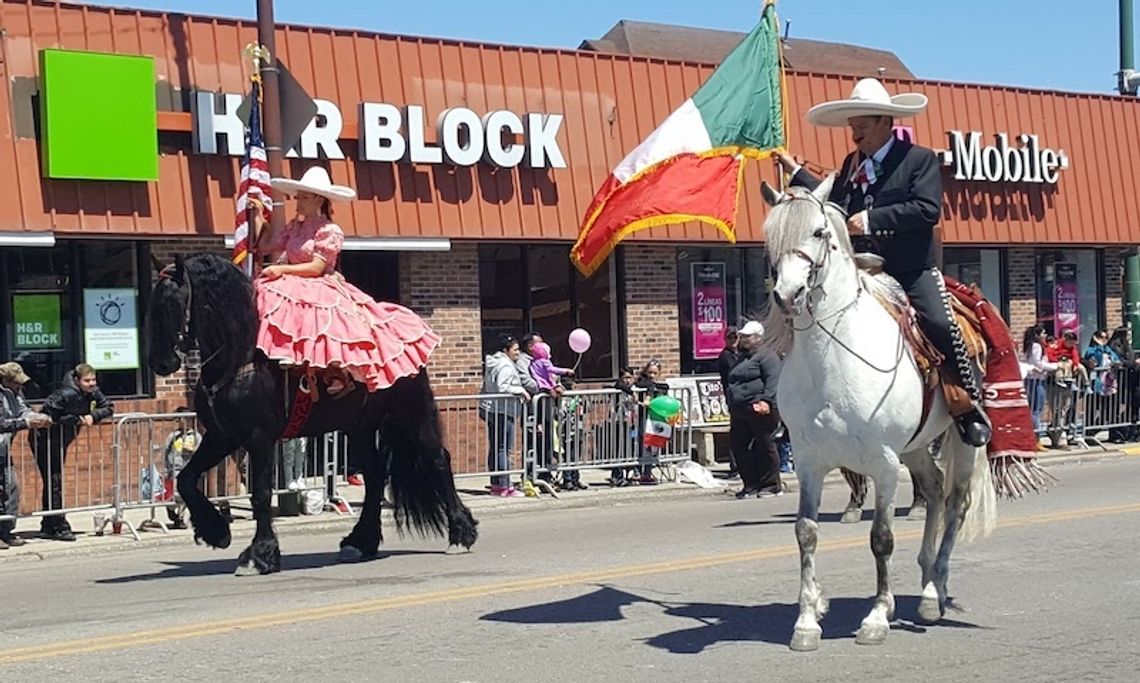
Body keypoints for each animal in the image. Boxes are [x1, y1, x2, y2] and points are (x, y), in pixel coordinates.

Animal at [145, 254, 476, 574]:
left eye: (176, 303)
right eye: (153, 304)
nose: (161, 362)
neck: (238, 359)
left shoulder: (258, 438)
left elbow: (260, 493)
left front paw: (259, 555)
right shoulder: (222, 436)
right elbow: (186, 479)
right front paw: (215, 531)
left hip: (411, 413)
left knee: (437, 460)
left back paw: (460, 534)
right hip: (359, 427)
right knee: (374, 475)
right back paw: (361, 541)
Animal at [756, 177, 998, 652]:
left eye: (818, 232)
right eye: (769, 235)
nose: (788, 296)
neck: (831, 356)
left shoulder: (883, 462)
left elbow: (881, 538)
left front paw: (875, 618)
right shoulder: (810, 461)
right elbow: (806, 532)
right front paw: (807, 621)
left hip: (962, 439)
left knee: (955, 502)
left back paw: (933, 590)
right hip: (917, 446)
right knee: (934, 489)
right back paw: (926, 581)